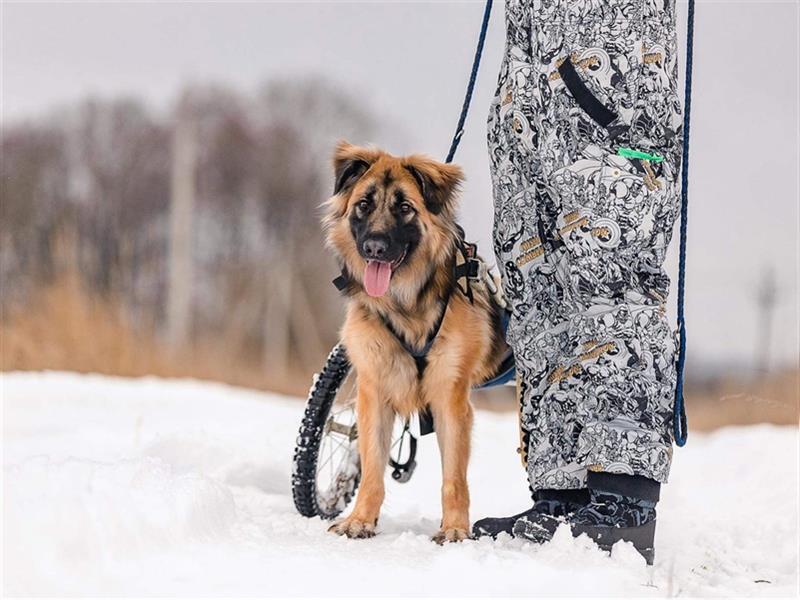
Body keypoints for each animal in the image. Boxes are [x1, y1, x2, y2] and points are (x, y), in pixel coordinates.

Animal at [320, 142, 504, 544]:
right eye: (364, 204)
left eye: (404, 208)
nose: (374, 248)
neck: (404, 302)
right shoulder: (373, 390)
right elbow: (372, 468)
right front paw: (360, 519)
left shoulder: (450, 397)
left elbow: (454, 478)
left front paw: (454, 529)